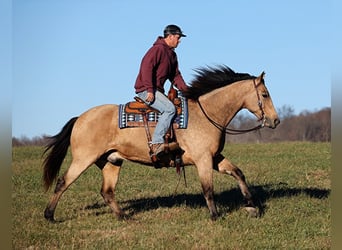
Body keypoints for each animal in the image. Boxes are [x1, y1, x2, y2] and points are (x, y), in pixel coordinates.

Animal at [42, 66, 280, 221]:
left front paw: (251, 206)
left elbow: (238, 173)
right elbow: (208, 189)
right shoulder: (203, 160)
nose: (275, 120)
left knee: (107, 192)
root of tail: (80, 118)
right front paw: (215, 216)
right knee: (63, 182)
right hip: (84, 159)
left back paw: (124, 217)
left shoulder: (213, 158)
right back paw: (49, 215)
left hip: (111, 162)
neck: (206, 113)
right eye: (265, 94)